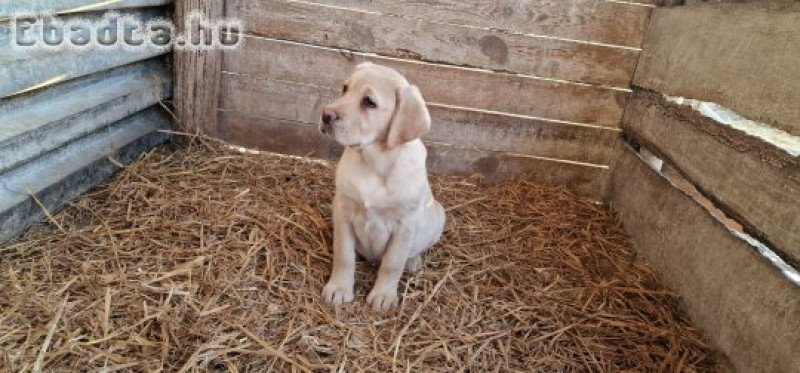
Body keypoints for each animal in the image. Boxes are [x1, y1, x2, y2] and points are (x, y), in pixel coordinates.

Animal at [318, 62, 444, 310]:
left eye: (369, 102)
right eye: (344, 89)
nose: (325, 114)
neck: (373, 162)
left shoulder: (405, 225)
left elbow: (392, 263)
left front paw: (384, 295)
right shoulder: (342, 211)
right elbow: (344, 255)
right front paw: (339, 288)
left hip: (438, 217)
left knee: (415, 250)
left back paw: (413, 261)